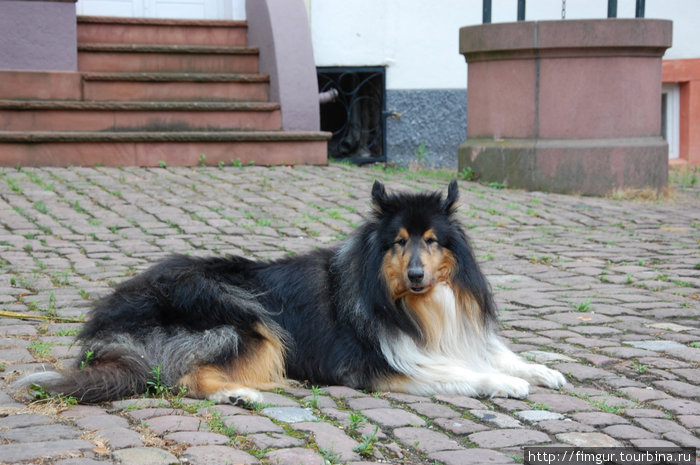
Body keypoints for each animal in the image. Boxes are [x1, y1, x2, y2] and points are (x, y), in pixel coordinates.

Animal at [15, 179, 564, 404]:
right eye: (398, 242)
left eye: (431, 241)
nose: (414, 276)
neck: (417, 305)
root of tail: (106, 326)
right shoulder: (380, 367)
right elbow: (458, 375)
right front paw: (503, 383)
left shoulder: (461, 336)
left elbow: (496, 355)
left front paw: (544, 371)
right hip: (242, 314)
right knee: (181, 377)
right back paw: (240, 393)